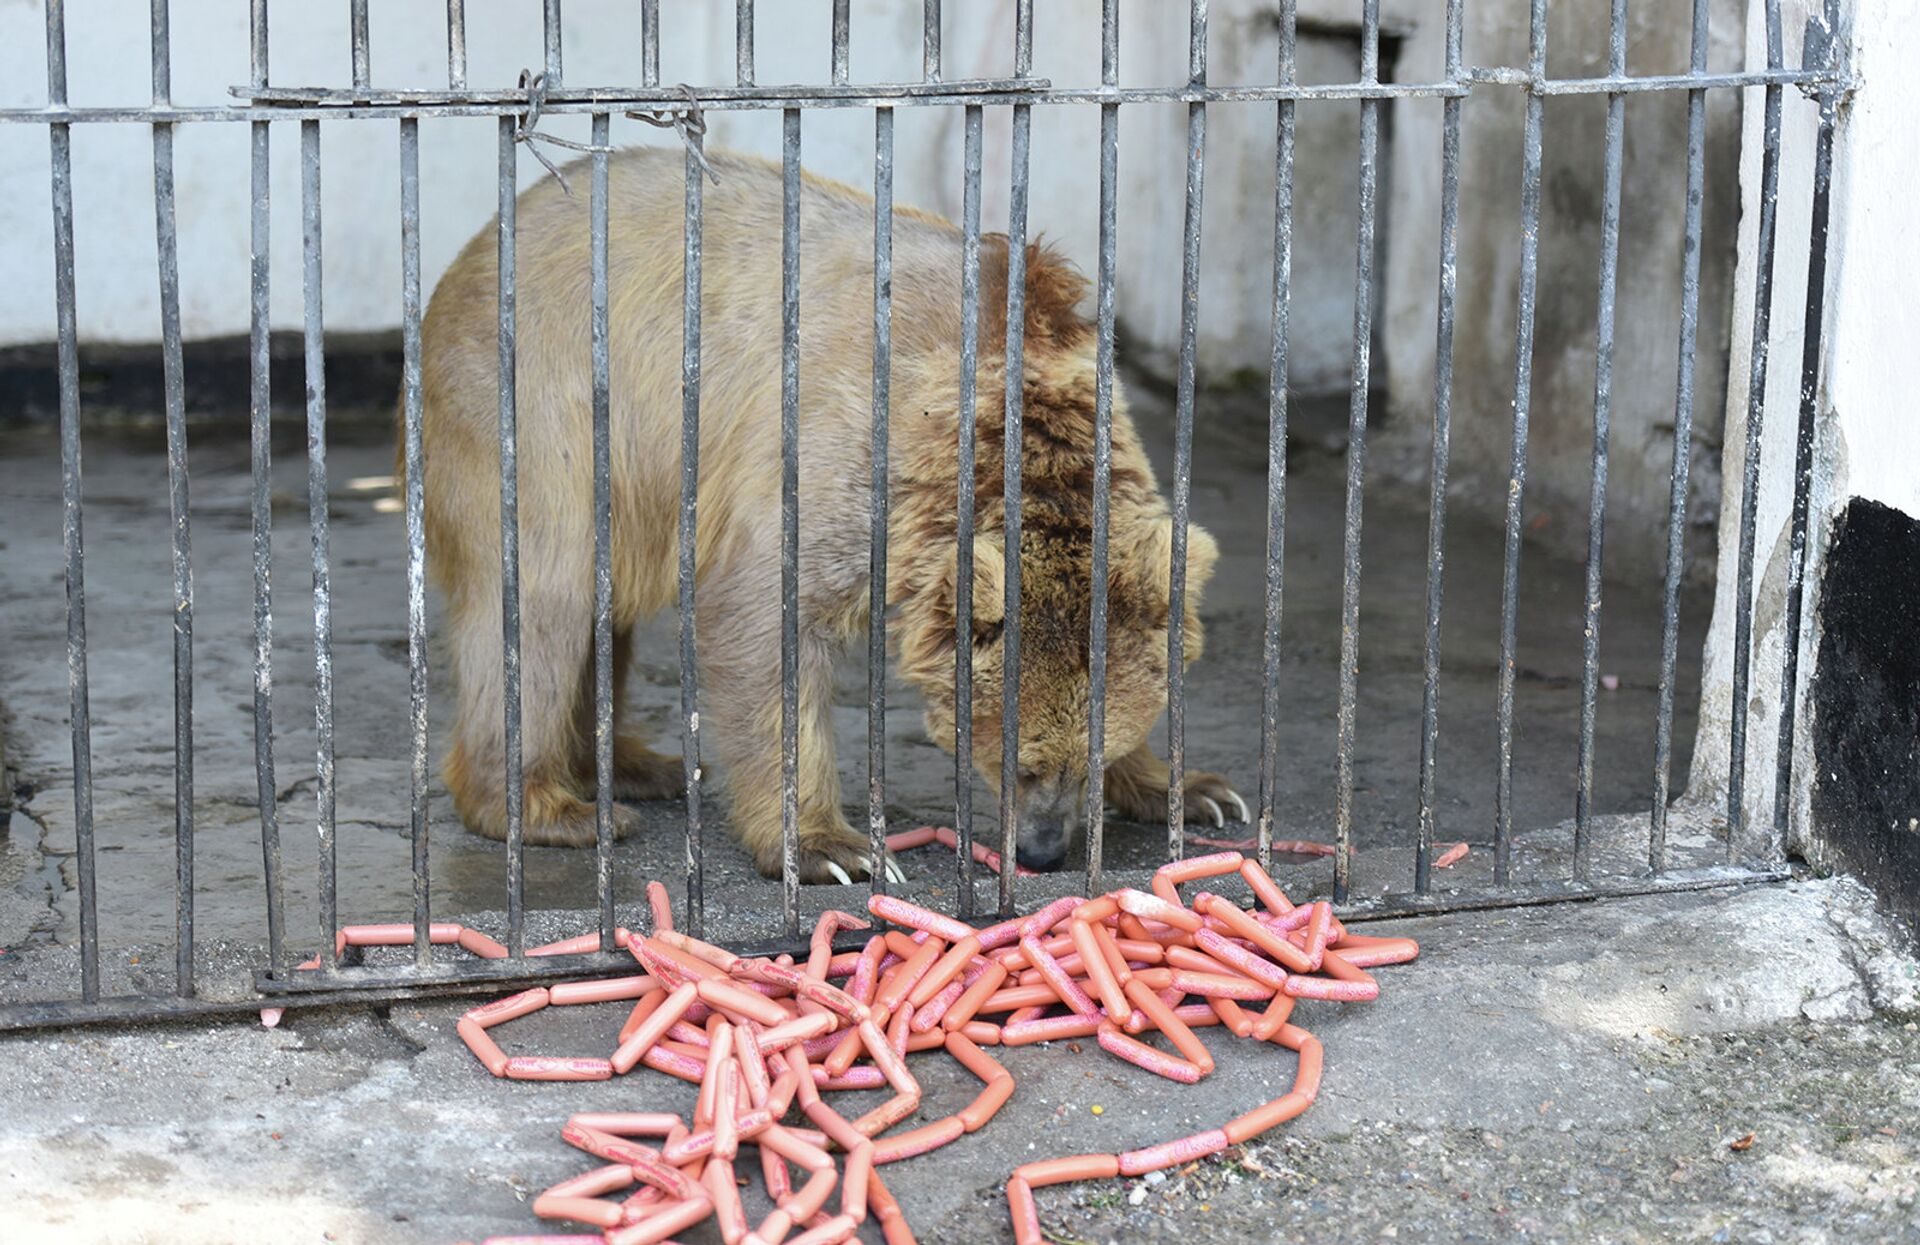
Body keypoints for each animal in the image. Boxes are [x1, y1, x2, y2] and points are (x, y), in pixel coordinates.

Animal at [414, 146, 1251, 879]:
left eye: (1086, 760)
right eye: (1019, 761)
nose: (1043, 850)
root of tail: (474, 248)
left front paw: (1193, 789)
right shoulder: (839, 457)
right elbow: (763, 623)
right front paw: (833, 847)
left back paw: (645, 765)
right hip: (539, 413)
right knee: (541, 608)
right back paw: (554, 806)